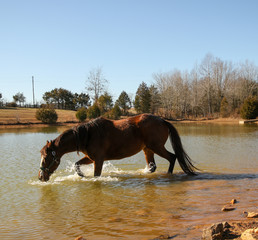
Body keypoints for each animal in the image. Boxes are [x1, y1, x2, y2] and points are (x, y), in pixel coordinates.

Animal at [38, 113, 197, 181]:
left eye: (46, 157)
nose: (40, 177)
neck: (88, 135)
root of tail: (163, 120)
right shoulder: (90, 158)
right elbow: (77, 165)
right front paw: (82, 175)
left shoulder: (98, 160)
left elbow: (96, 175)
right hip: (148, 150)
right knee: (153, 166)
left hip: (157, 147)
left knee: (172, 157)